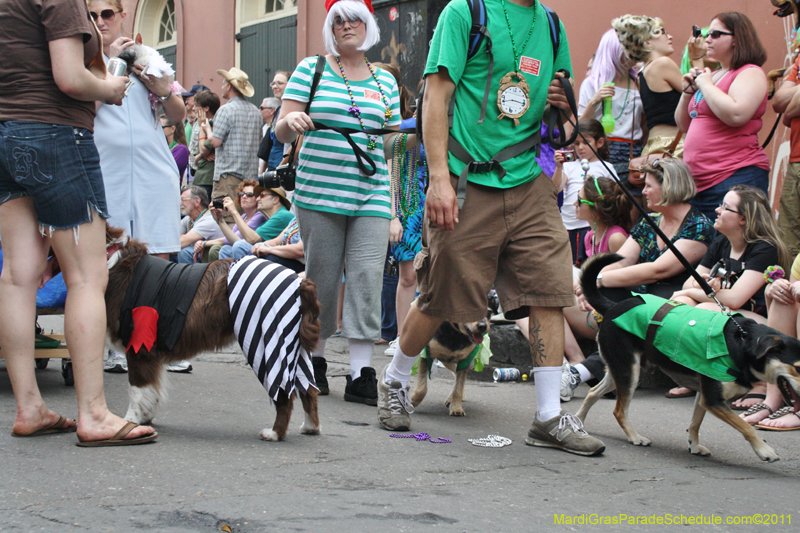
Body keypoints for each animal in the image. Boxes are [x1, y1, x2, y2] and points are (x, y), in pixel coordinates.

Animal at [576, 254, 800, 462]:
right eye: (797, 367)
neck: (743, 343)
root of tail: (614, 306)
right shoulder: (713, 400)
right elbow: (746, 427)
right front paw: (764, 450)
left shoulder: (704, 395)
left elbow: (695, 423)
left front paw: (694, 445)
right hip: (628, 372)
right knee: (619, 411)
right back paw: (635, 437)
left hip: (622, 369)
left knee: (593, 392)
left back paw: (578, 421)